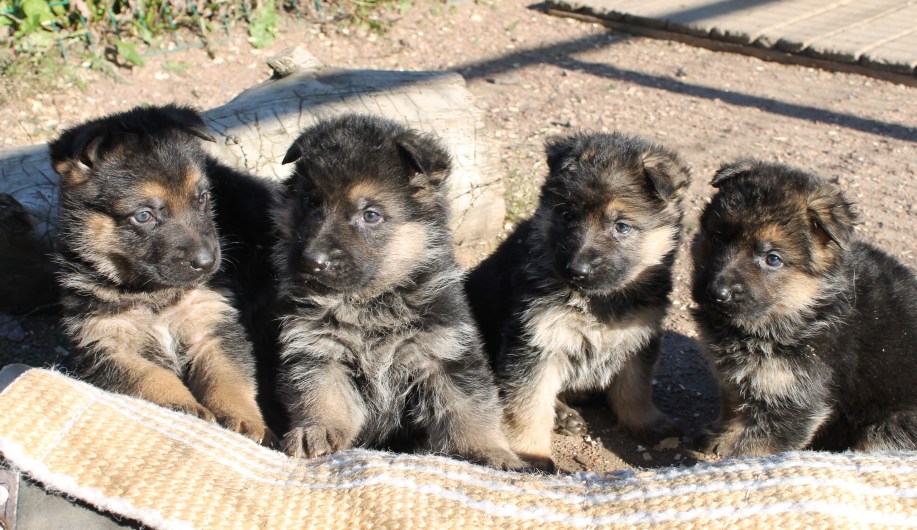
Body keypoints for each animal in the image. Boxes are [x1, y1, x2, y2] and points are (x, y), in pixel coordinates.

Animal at [51, 104, 272, 445]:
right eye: (144, 215)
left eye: (202, 198)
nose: (208, 262)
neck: (152, 293)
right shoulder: (106, 343)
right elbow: (151, 377)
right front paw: (185, 407)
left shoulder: (212, 323)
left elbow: (229, 378)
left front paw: (247, 422)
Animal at [273, 114, 524, 470]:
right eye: (310, 202)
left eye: (371, 215)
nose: (312, 261)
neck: (371, 301)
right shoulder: (318, 349)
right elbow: (320, 392)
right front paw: (316, 429)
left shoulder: (444, 353)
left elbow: (469, 408)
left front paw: (489, 451)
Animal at [466, 132, 691, 471]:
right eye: (567, 214)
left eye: (621, 226)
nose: (577, 270)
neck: (597, 302)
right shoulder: (535, 342)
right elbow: (528, 404)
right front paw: (531, 454)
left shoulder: (639, 337)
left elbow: (635, 388)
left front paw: (647, 422)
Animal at [691, 160, 917, 455]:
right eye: (718, 238)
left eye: (772, 258)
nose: (717, 293)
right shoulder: (739, 379)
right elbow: (734, 408)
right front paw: (721, 437)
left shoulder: (796, 400)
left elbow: (757, 448)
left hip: (890, 427)